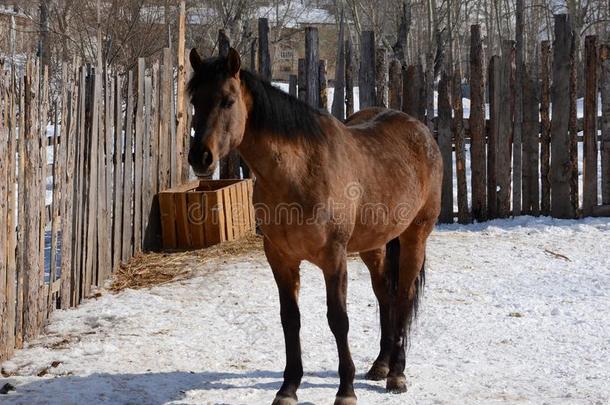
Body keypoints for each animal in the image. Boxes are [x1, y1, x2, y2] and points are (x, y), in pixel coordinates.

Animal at [188, 48, 440, 404]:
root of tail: (420, 130)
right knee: (385, 295)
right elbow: (290, 319)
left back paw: (397, 374)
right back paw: (380, 365)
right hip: (374, 245)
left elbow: (338, 320)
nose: (200, 158)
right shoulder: (280, 258)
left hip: (414, 237)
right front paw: (288, 388)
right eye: (194, 100)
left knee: (403, 297)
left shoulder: (333, 258)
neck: (299, 172)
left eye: (227, 100)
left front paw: (346, 390)